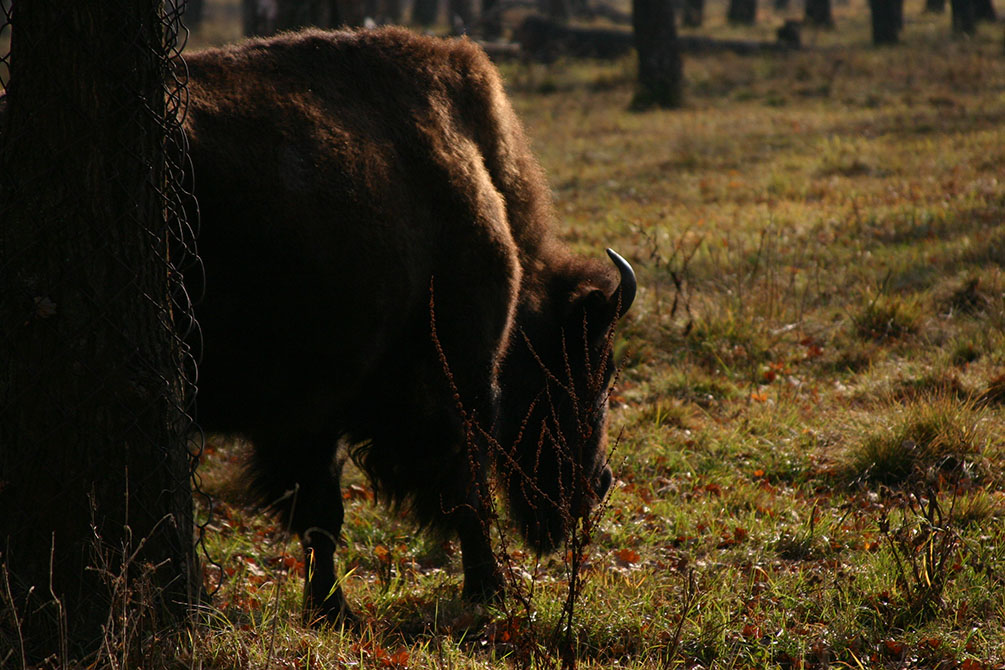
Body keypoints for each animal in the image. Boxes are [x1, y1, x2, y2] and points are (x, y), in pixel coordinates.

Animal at [181, 26, 635, 622]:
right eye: (590, 371)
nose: (599, 485)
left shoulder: (306, 416)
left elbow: (318, 514)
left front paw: (327, 608)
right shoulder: (452, 384)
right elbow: (455, 492)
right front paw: (486, 589)